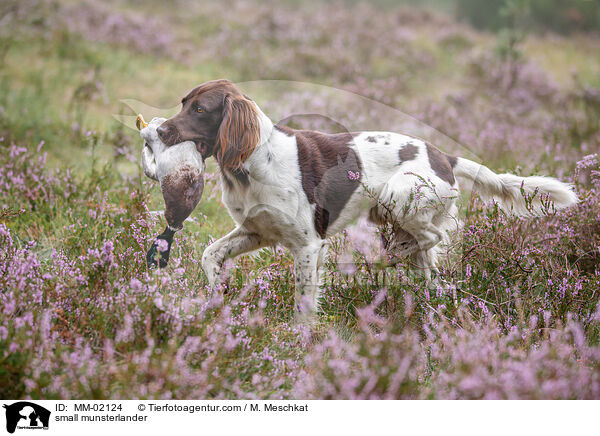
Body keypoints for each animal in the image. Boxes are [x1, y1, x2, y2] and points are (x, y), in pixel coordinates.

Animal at [157, 79, 580, 324]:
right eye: (183, 102)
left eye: (200, 109)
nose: (159, 131)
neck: (252, 162)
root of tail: (445, 156)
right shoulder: (256, 231)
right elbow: (210, 254)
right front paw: (217, 297)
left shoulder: (308, 244)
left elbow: (304, 301)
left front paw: (301, 340)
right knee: (430, 266)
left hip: (398, 197)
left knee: (435, 237)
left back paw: (393, 256)